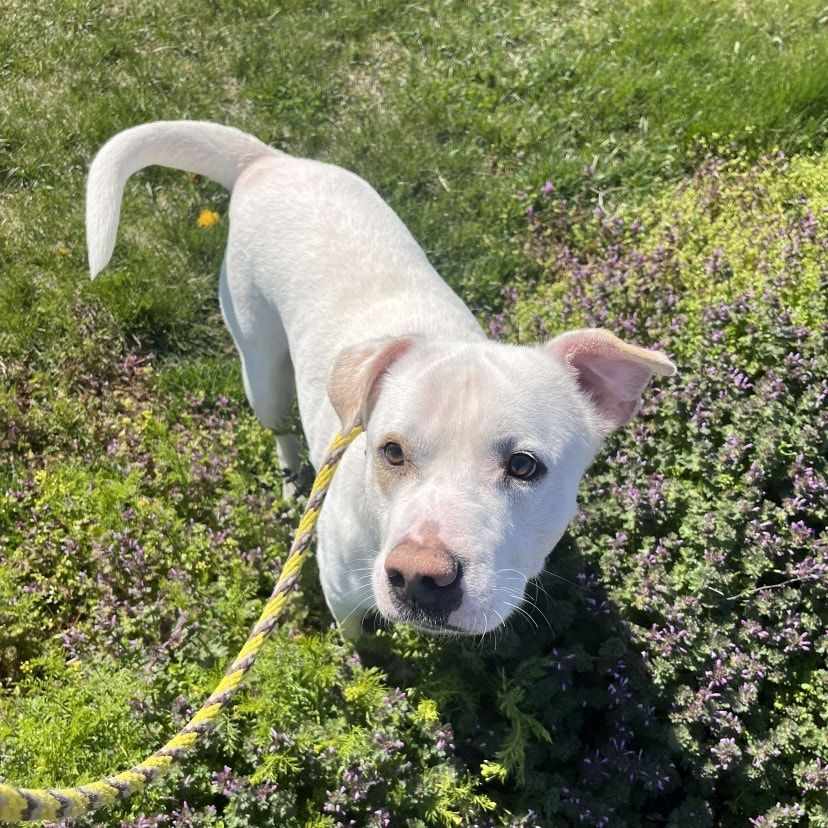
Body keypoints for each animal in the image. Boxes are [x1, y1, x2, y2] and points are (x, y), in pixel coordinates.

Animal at [87, 123, 676, 636]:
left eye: (524, 465)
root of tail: (267, 162)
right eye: (391, 452)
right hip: (261, 368)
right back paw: (291, 480)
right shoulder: (341, 597)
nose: (419, 576)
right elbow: (362, 649)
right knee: (280, 428)